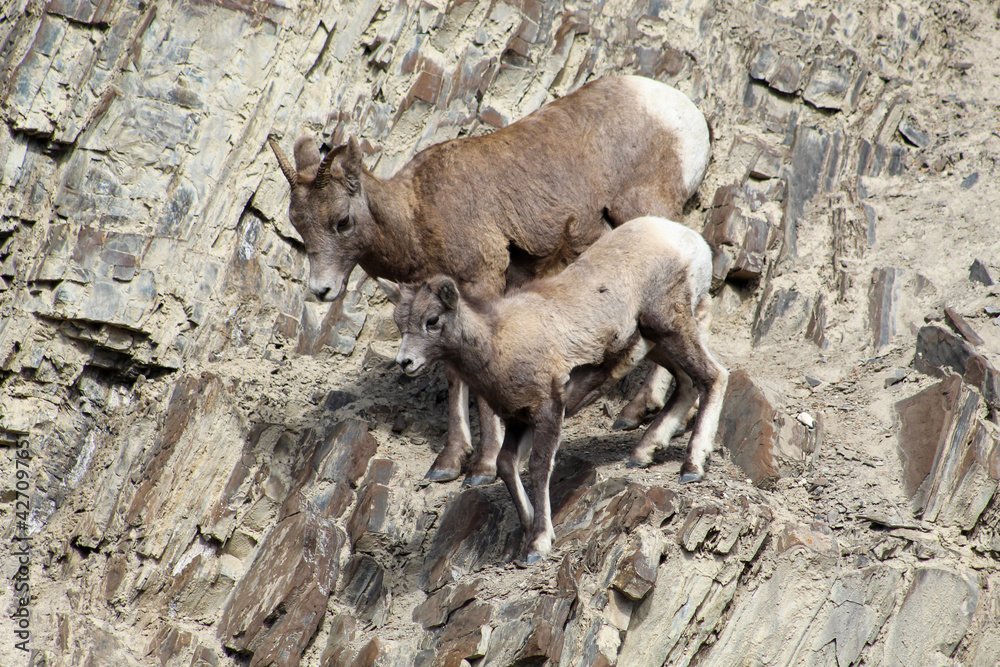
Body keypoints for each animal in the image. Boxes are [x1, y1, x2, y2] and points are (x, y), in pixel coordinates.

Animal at [269, 75, 711, 486]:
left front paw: (481, 468)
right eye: (298, 224)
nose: (322, 290)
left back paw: (640, 415)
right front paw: (448, 463)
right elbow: (454, 375)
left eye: (342, 221)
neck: (416, 216)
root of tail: (684, 111)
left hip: (651, 217)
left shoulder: (483, 283)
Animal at [382, 216, 729, 564]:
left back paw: (692, 467)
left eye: (432, 320)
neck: (497, 341)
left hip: (670, 327)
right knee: (687, 384)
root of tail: (686, 238)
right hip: (655, 343)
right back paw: (644, 452)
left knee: (713, 376)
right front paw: (529, 527)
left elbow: (537, 467)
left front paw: (538, 545)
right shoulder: (517, 419)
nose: (405, 362)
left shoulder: (548, 409)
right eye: (400, 323)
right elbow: (506, 465)